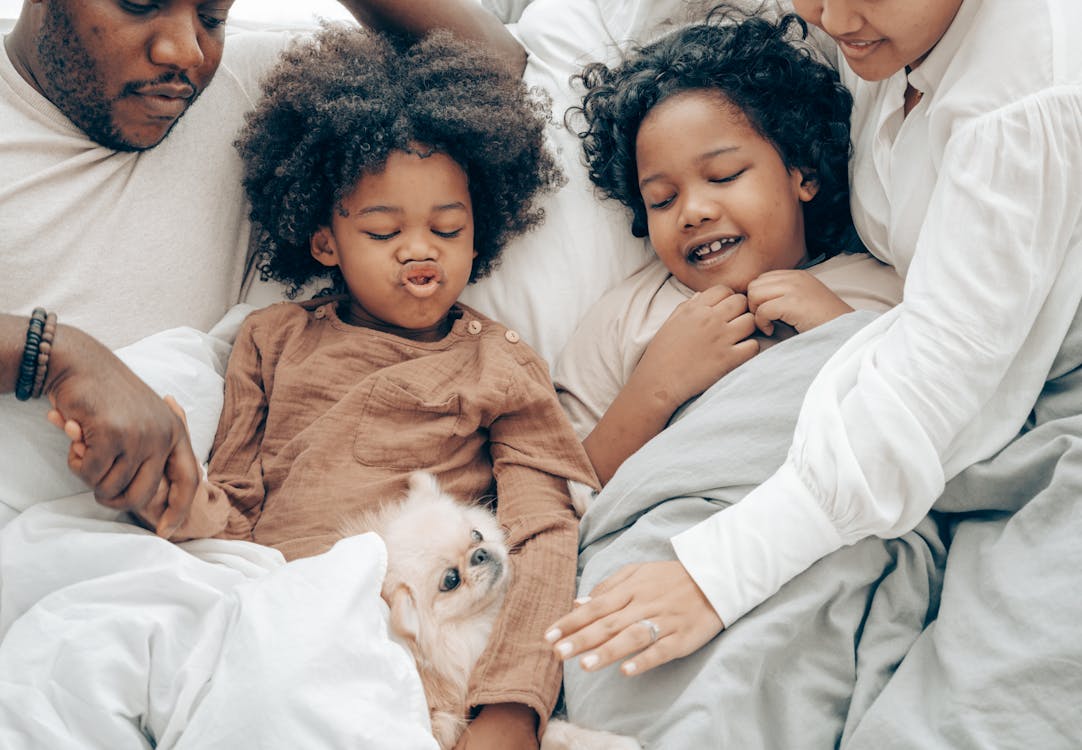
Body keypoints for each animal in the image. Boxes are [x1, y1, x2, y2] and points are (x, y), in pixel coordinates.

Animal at [341, 471, 636, 748]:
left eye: (476, 534)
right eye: (451, 580)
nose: (480, 554)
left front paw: (584, 497)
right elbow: (552, 732)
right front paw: (617, 743)